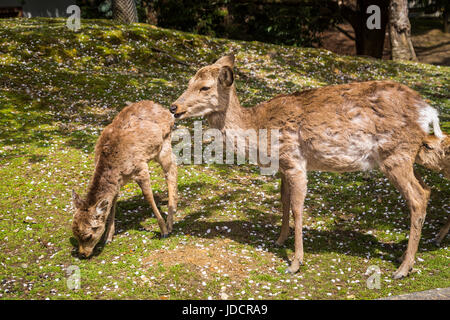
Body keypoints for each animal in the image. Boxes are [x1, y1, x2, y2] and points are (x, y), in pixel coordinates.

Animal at [71, 100, 177, 258]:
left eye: (88, 235)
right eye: (75, 234)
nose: (83, 254)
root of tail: (166, 111)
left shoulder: (140, 167)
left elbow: (148, 196)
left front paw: (163, 231)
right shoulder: (118, 182)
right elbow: (112, 202)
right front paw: (108, 237)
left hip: (164, 143)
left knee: (171, 171)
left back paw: (170, 222)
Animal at [171, 54, 446, 278]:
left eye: (205, 87)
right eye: (188, 82)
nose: (174, 107)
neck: (258, 130)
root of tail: (429, 111)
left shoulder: (294, 160)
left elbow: (297, 207)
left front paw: (295, 263)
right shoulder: (283, 166)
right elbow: (283, 200)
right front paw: (280, 240)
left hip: (395, 154)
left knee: (417, 197)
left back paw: (403, 269)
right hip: (408, 155)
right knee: (427, 189)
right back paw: (404, 257)